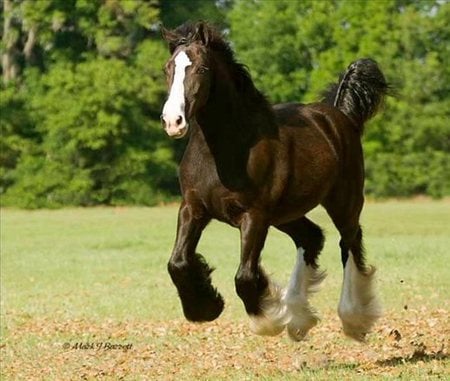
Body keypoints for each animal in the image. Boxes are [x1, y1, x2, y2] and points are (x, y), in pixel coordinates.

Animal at [160, 21, 388, 342]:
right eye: (168, 68)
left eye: (202, 68)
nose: (173, 121)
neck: (228, 148)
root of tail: (340, 115)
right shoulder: (193, 208)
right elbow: (177, 263)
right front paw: (206, 308)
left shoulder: (254, 215)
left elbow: (245, 276)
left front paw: (268, 319)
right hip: (286, 214)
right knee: (312, 236)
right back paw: (299, 318)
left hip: (344, 201)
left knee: (350, 242)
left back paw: (352, 318)